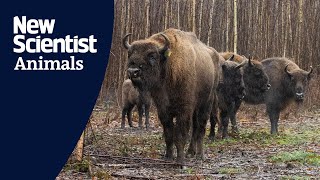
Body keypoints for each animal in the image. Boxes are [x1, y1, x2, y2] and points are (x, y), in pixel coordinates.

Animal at [122, 28, 220, 163]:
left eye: (152, 55)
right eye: (130, 54)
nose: (133, 71)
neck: (168, 65)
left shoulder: (184, 110)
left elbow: (180, 134)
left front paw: (180, 159)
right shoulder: (163, 110)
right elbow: (169, 133)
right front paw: (168, 156)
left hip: (206, 103)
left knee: (201, 127)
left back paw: (200, 155)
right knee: (195, 128)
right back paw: (190, 152)